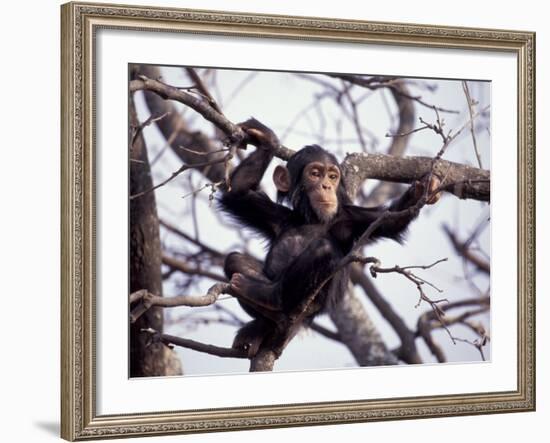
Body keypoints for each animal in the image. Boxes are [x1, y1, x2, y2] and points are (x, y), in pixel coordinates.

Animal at [220, 118, 440, 358]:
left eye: (333, 177)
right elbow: (237, 194)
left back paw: (267, 296)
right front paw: (266, 139)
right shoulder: (274, 215)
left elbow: (392, 221)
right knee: (234, 259)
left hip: (312, 306)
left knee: (321, 250)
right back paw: (259, 326)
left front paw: (423, 189)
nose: (326, 186)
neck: (313, 219)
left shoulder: (352, 219)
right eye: (315, 174)